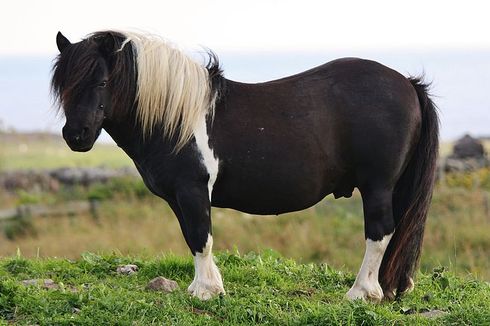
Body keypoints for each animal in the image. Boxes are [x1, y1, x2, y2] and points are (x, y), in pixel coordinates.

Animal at [50, 30, 440, 300]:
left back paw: (361, 293)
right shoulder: (179, 196)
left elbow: (201, 236)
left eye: (102, 81)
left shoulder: (192, 189)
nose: (76, 136)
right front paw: (207, 286)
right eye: (63, 85)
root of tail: (408, 84)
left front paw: (205, 292)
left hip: (377, 186)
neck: (176, 118)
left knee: (380, 232)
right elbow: (192, 237)